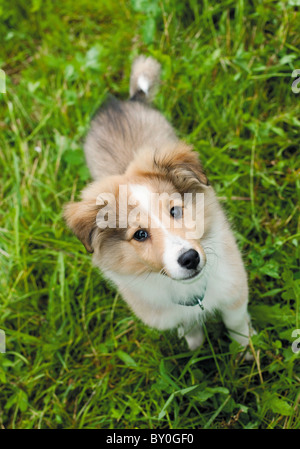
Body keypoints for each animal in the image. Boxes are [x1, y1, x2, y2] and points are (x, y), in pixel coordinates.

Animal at [64, 55, 254, 356]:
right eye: (140, 234)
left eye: (175, 210)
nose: (190, 259)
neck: (192, 291)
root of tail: (122, 103)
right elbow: (190, 327)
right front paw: (195, 348)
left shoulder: (234, 287)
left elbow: (236, 324)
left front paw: (248, 353)